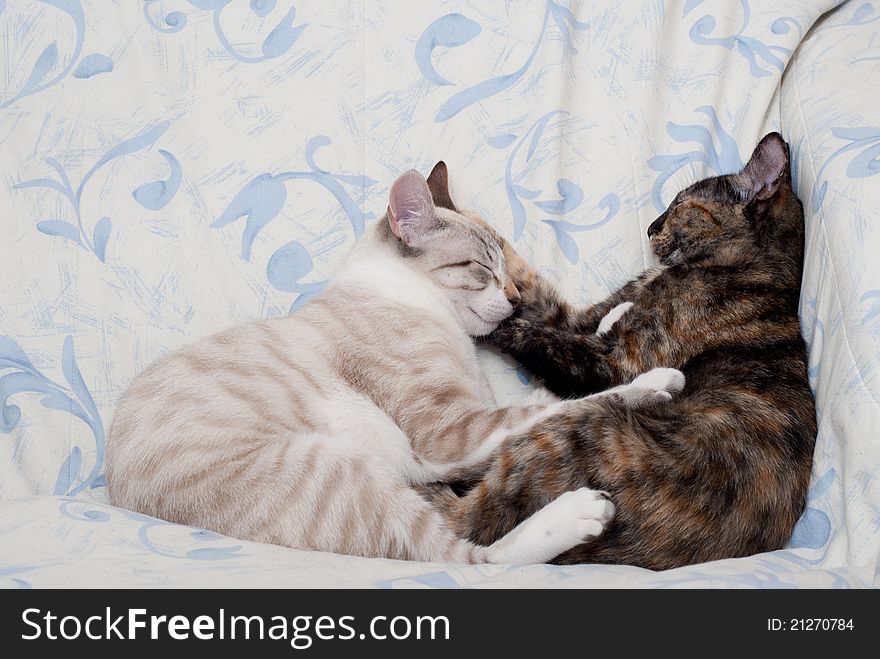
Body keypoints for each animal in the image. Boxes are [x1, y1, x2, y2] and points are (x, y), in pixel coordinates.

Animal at [434, 131, 820, 568]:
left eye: (681, 204)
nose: (651, 227)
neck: (756, 271)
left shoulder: (612, 363)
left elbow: (528, 330)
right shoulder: (577, 321)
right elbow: (524, 281)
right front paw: (447, 212)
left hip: (576, 427)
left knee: (461, 522)